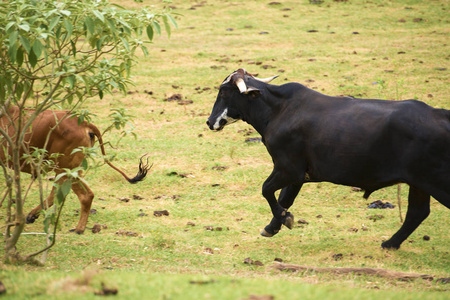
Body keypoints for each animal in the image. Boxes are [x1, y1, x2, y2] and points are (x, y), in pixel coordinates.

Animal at [207, 68, 450, 248]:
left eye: (224, 92)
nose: (209, 122)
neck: (280, 110)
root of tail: (440, 114)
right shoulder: (298, 175)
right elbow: (284, 198)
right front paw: (273, 226)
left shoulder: (287, 169)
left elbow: (267, 190)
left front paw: (285, 219)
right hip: (419, 183)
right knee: (417, 213)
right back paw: (390, 243)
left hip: (434, 180)